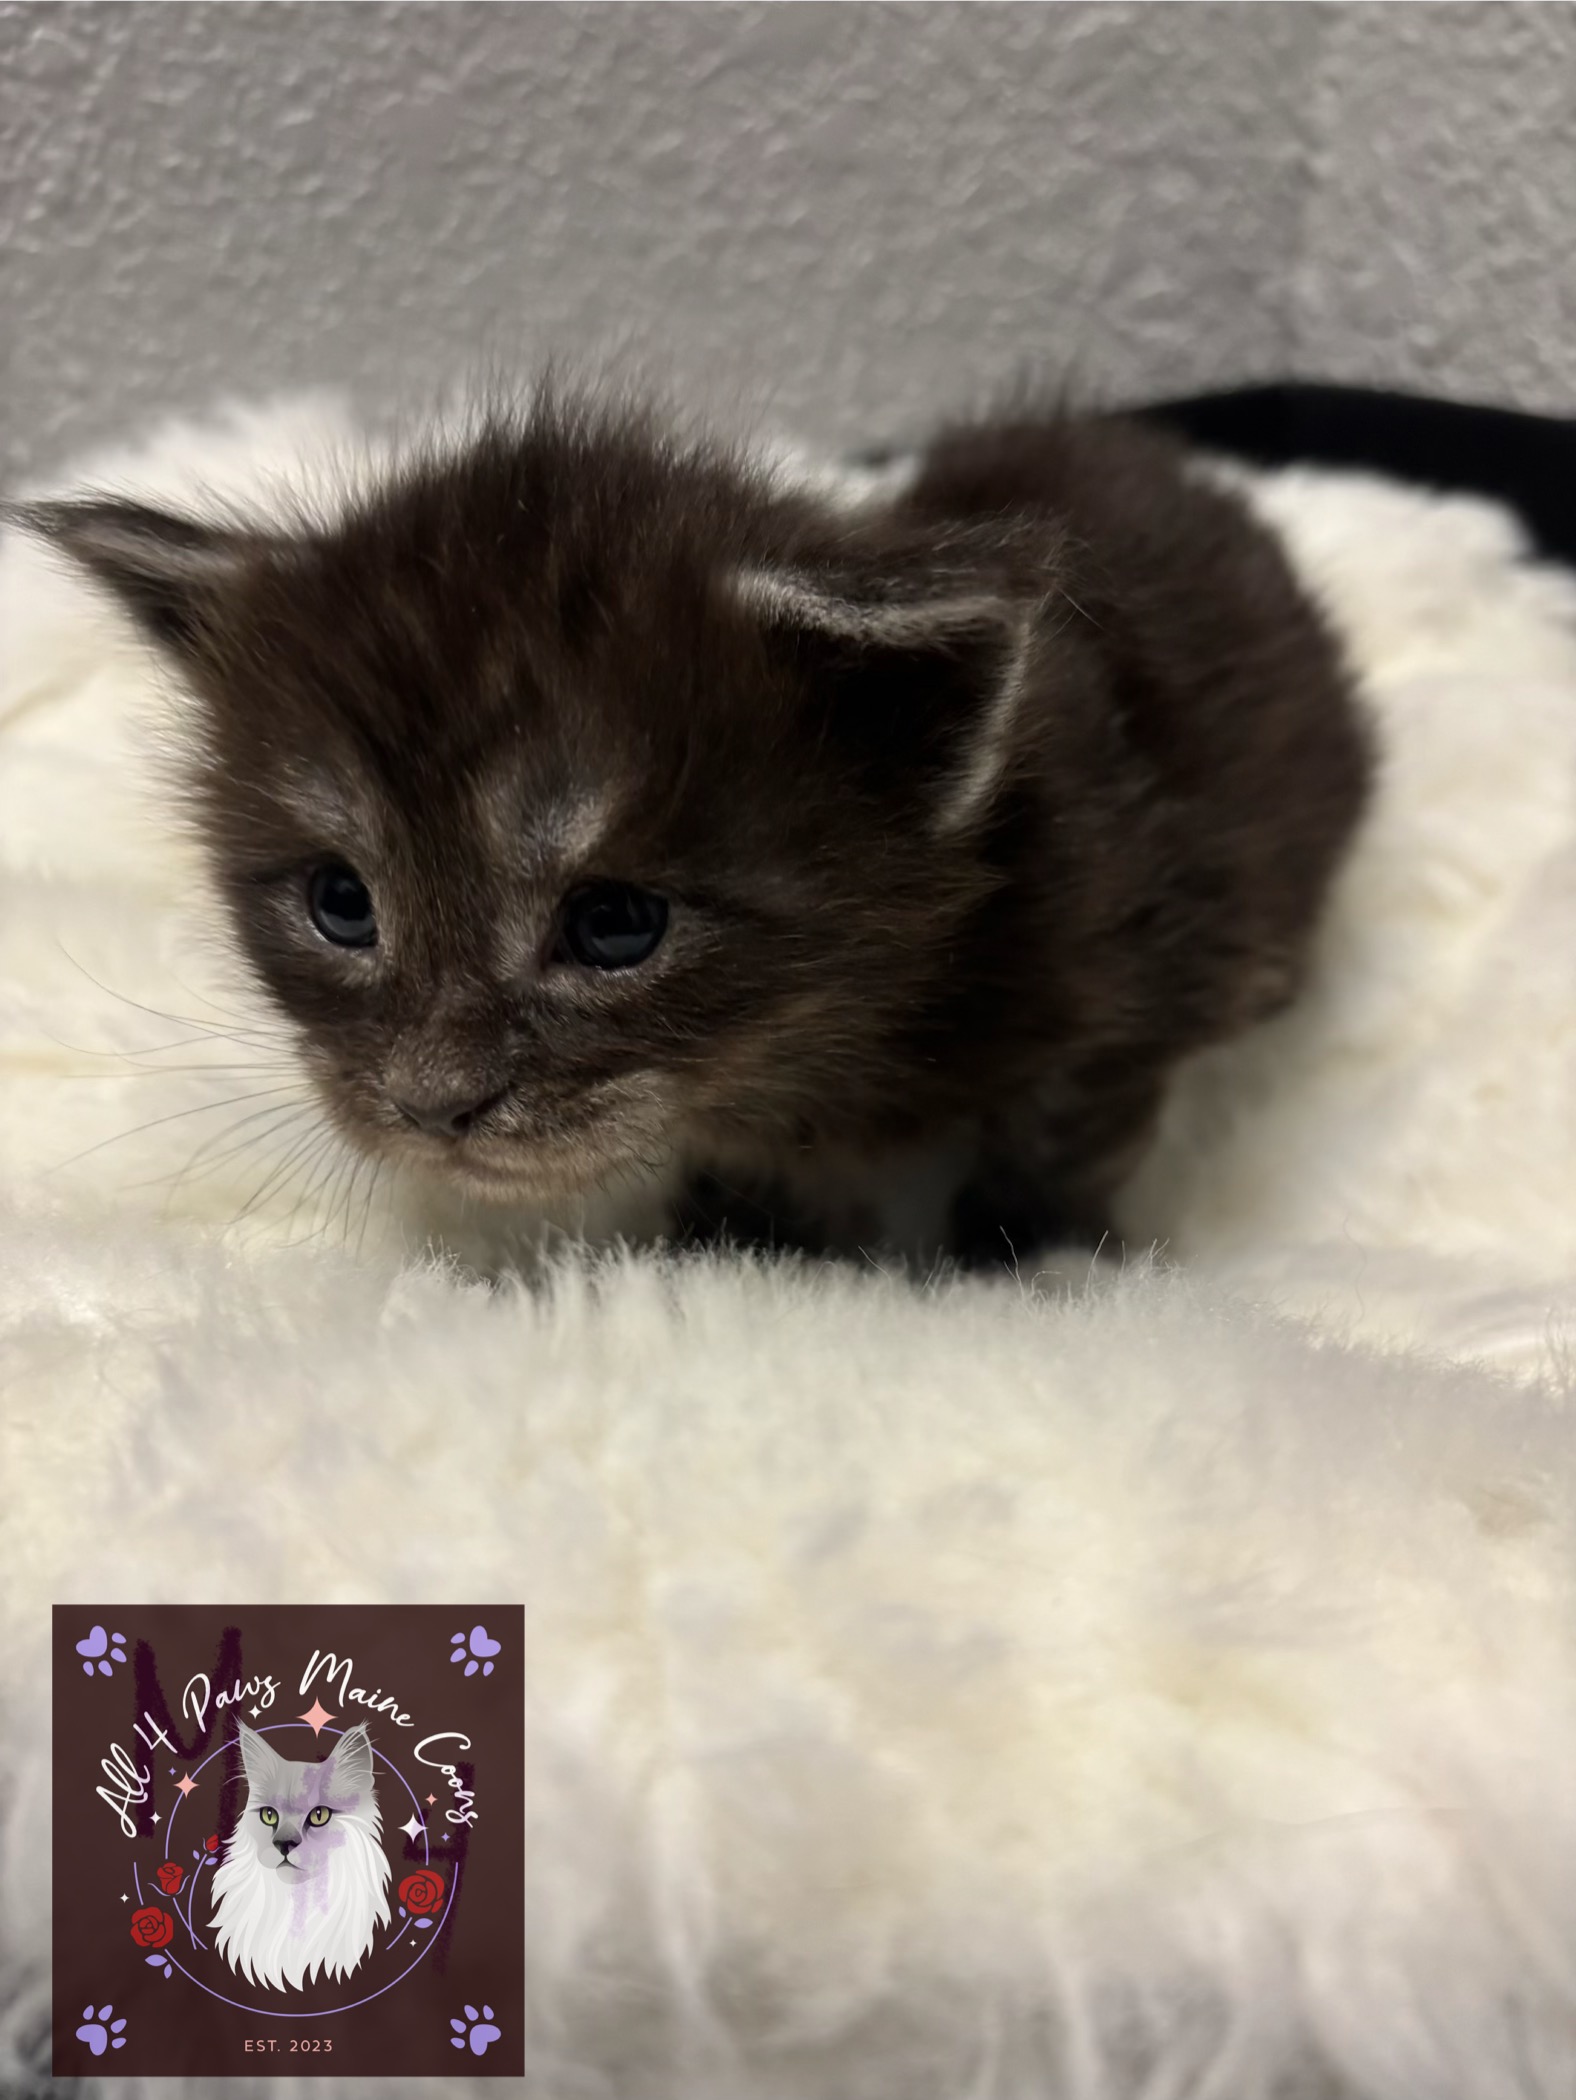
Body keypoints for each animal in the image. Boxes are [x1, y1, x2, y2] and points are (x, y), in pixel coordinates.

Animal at [12, 388, 1371, 1264]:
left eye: (616, 924)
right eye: (340, 903)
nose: (435, 1111)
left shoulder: (1125, 979)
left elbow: (1051, 1146)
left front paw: (1017, 1269)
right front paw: (746, 1247)